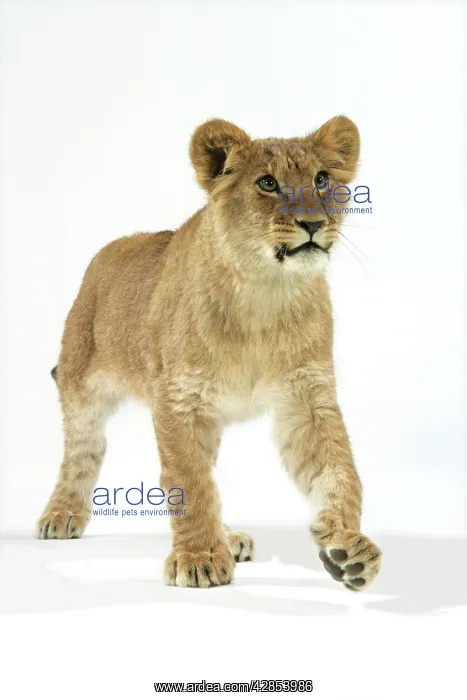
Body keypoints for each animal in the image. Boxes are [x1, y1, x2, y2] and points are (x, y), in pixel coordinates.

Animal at [37, 116, 382, 590]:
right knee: (83, 449)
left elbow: (338, 469)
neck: (264, 293)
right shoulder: (178, 399)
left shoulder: (307, 398)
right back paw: (62, 514)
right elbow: (191, 481)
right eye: (268, 183)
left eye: (322, 179)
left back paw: (231, 537)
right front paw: (199, 558)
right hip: (80, 380)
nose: (313, 223)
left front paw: (349, 547)